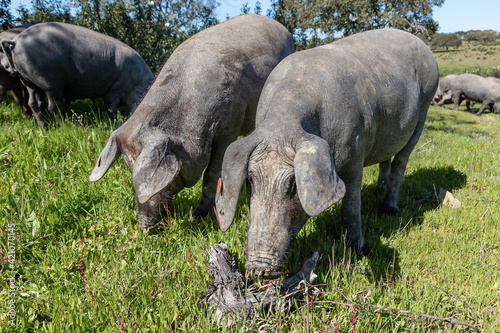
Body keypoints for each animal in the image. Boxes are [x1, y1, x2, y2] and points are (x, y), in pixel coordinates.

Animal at [0, 22, 153, 126]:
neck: (137, 82)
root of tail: (16, 40)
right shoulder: (115, 89)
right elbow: (111, 108)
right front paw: (114, 124)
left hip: (27, 81)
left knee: (34, 103)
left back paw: (43, 127)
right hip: (49, 83)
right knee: (54, 107)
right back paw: (64, 125)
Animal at [215, 27, 438, 278]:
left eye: (293, 184)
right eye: (251, 181)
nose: (259, 269)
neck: (284, 120)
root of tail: (423, 45)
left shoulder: (356, 151)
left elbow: (351, 202)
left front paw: (359, 250)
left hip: (424, 108)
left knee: (401, 163)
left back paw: (389, 210)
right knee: (387, 159)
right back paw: (378, 190)